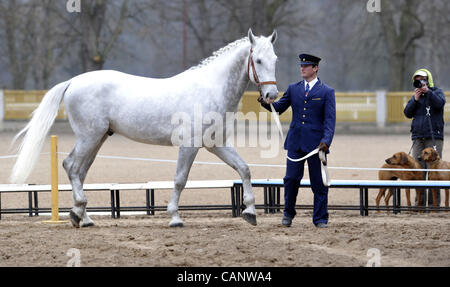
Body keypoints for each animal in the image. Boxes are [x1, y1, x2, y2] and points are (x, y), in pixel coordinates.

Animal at [10, 28, 278, 228]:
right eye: (258, 60)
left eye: (274, 59)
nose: (272, 95)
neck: (211, 89)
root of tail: (73, 81)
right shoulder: (189, 145)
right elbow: (180, 179)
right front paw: (175, 217)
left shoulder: (216, 144)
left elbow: (244, 169)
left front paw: (250, 212)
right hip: (89, 137)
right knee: (72, 166)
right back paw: (79, 214)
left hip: (97, 139)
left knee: (79, 170)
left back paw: (83, 217)